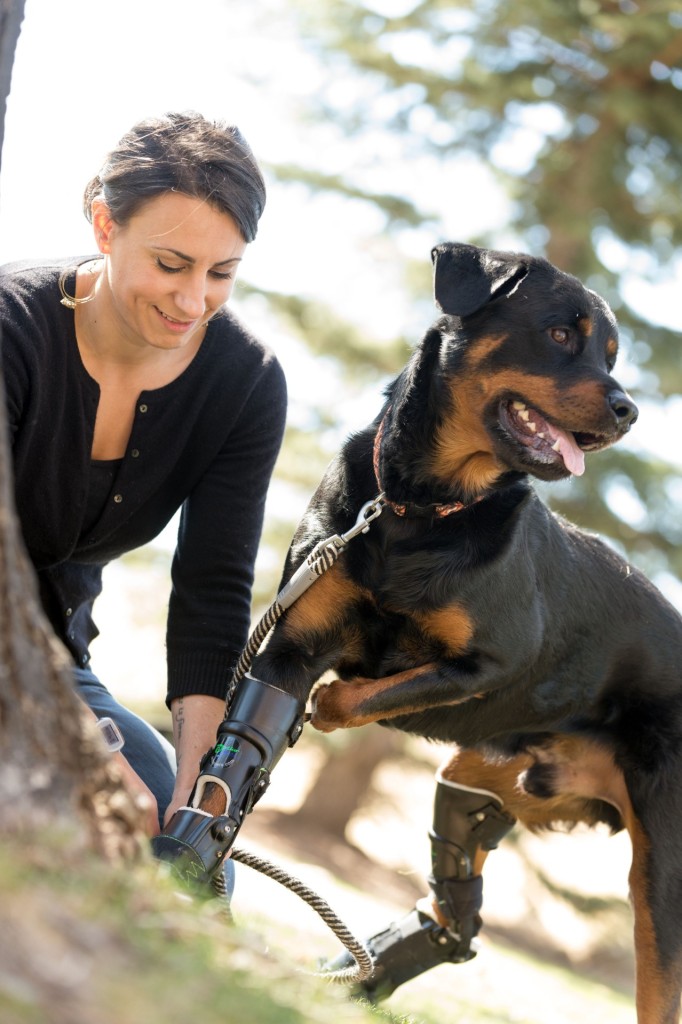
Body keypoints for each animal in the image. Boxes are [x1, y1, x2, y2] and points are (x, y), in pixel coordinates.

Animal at [249, 241, 679, 1024]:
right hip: (493, 772)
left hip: (661, 874)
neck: (420, 508)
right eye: (561, 334)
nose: (628, 410)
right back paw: (364, 974)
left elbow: (358, 694)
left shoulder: (489, 665)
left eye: (611, 355)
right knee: (460, 882)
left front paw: (332, 701)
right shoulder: (291, 640)